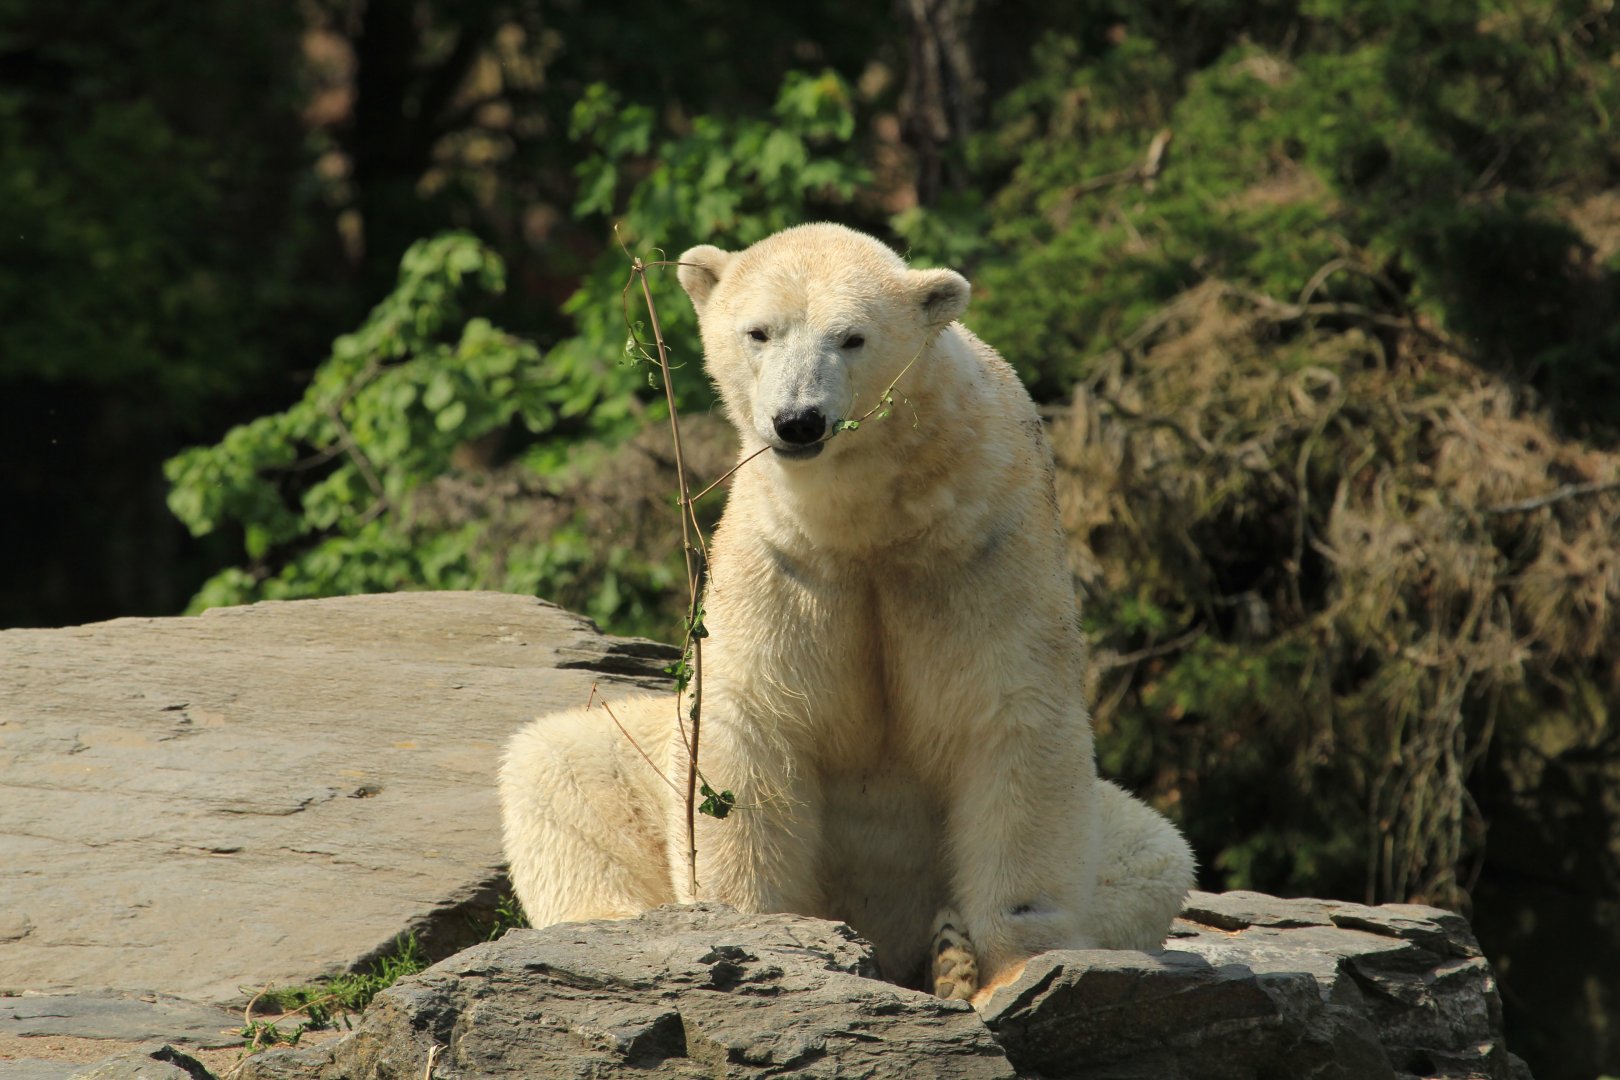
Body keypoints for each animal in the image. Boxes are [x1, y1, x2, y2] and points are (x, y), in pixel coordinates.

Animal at [498, 222, 1195, 1004]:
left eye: (852, 337)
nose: (799, 421)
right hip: (636, 766)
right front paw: (748, 936)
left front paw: (1007, 973)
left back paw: (947, 959)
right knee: (554, 766)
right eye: (759, 331)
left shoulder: (984, 544)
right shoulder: (783, 562)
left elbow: (1010, 720)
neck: (871, 514)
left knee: (1156, 855)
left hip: (1117, 832)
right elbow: (748, 729)